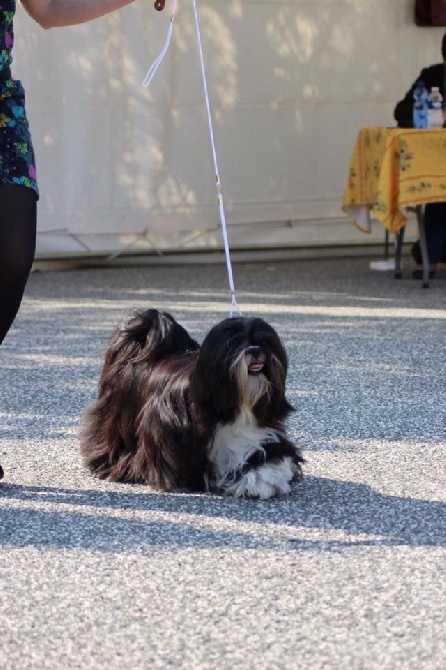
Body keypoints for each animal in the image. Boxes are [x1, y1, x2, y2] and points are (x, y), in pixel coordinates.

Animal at [80, 310, 304, 498]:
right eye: (235, 343)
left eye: (265, 342)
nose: (255, 349)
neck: (236, 408)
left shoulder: (261, 433)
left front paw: (261, 480)